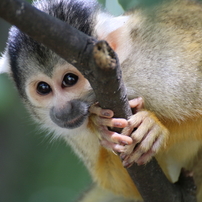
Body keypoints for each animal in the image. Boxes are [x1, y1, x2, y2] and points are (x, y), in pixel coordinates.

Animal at [0, 0, 202, 201]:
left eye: (69, 80)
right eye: (43, 88)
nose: (63, 111)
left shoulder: (160, 71)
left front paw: (153, 127)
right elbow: (129, 187)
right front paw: (100, 125)